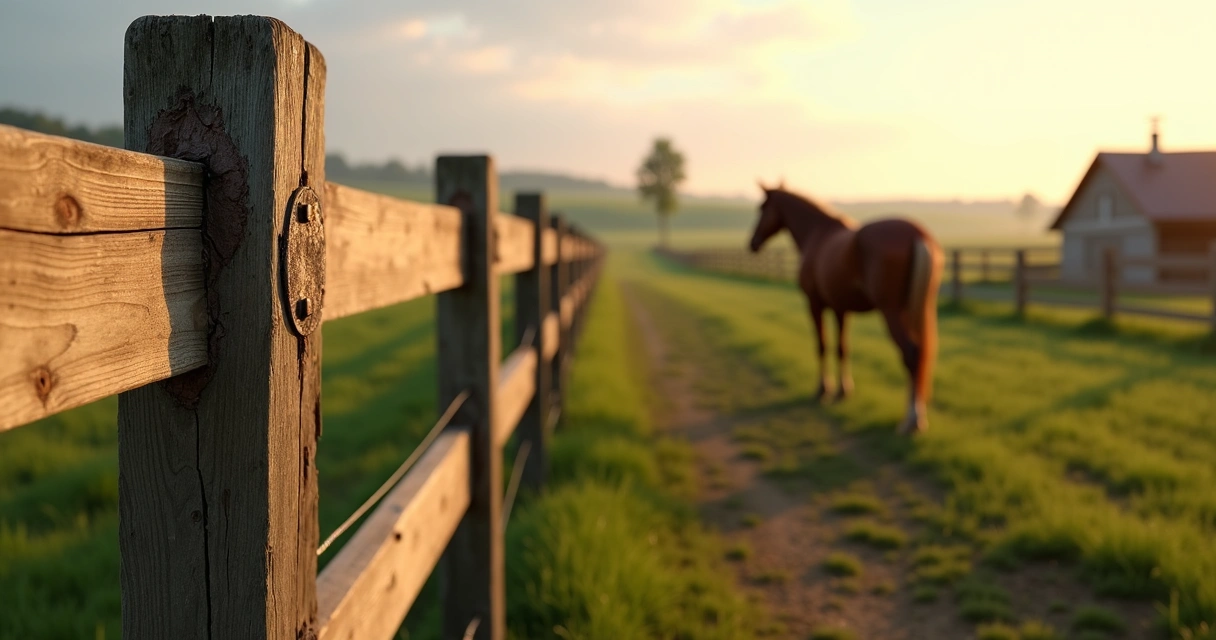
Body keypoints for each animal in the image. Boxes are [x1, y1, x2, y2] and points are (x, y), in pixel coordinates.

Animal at [747, 182, 944, 435]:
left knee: (911, 353)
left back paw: (912, 420)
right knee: (920, 355)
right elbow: (842, 348)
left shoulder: (815, 304)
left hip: (892, 312)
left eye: (762, 208)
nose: (753, 243)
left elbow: (822, 345)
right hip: (916, 309)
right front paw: (843, 391)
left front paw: (823, 390)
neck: (817, 234)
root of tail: (917, 234)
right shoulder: (840, 309)